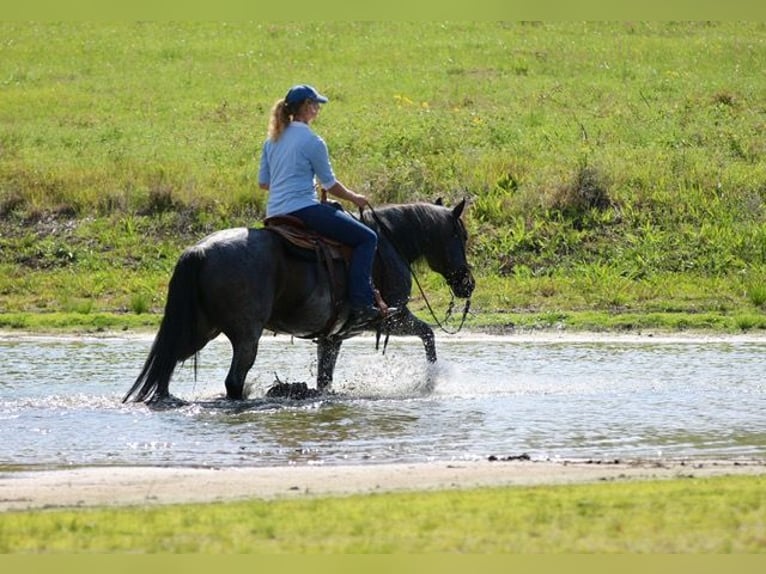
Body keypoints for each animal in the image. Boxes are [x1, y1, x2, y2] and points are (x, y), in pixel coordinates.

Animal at [123, 199, 475, 403]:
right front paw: (430, 381)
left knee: (169, 360)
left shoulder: (333, 337)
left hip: (201, 329)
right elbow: (428, 333)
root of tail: (199, 251)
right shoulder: (390, 318)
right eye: (462, 235)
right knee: (233, 380)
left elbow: (324, 379)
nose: (467, 284)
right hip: (246, 336)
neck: (388, 243)